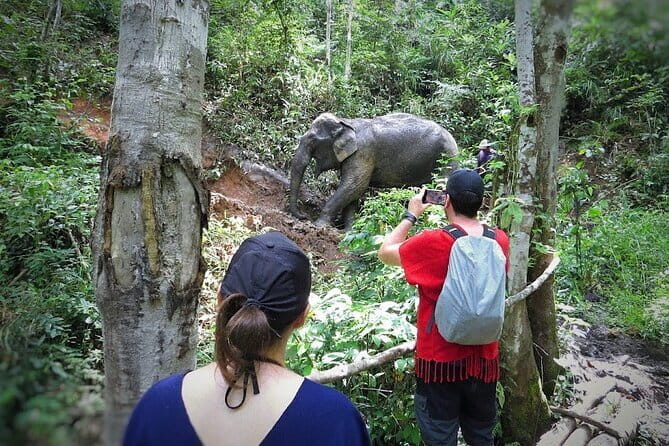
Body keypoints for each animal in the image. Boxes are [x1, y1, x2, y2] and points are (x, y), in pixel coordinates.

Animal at [289, 112, 459, 227]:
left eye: (312, 141)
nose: (303, 216)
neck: (345, 122)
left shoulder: (363, 153)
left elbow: (354, 186)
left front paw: (318, 225)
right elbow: (353, 190)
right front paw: (348, 230)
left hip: (447, 158)